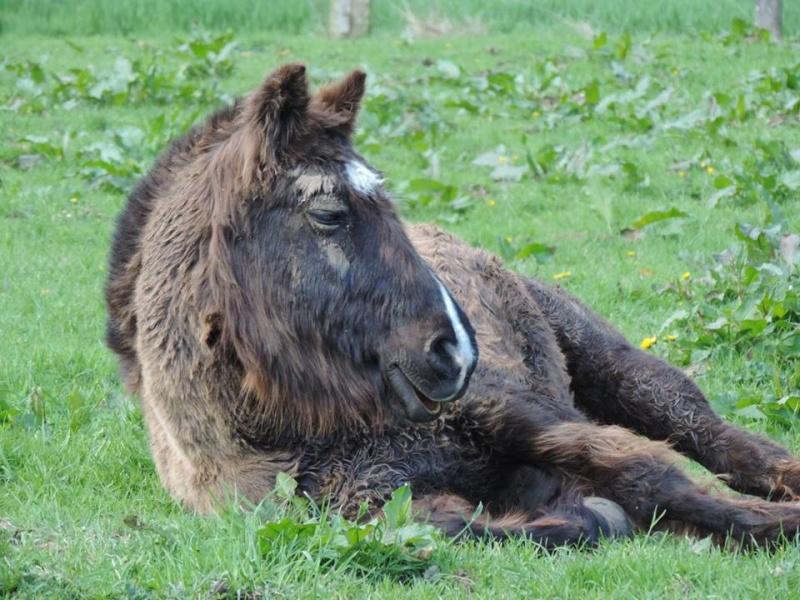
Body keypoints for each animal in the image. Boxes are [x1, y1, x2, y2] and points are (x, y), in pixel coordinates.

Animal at [106, 64, 800, 548]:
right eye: (330, 214)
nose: (457, 351)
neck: (300, 435)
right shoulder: (371, 509)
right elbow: (476, 526)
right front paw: (588, 512)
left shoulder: (514, 411)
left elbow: (651, 472)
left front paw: (776, 521)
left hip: (621, 370)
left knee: (716, 439)